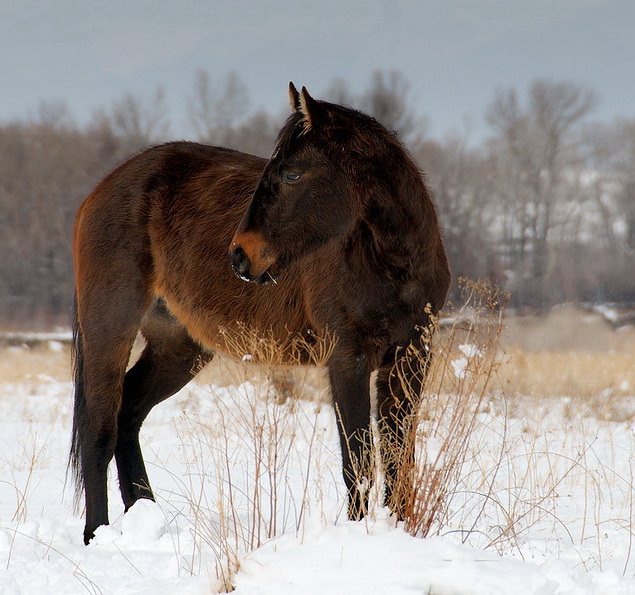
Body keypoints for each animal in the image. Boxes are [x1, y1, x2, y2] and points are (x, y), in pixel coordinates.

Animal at [71, 82, 452, 544]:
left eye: (291, 174)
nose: (239, 255)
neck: (391, 263)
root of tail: (102, 189)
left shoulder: (410, 358)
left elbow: (398, 459)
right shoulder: (348, 359)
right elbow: (358, 461)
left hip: (178, 347)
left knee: (127, 414)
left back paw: (144, 519)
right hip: (110, 328)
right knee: (99, 427)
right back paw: (96, 533)